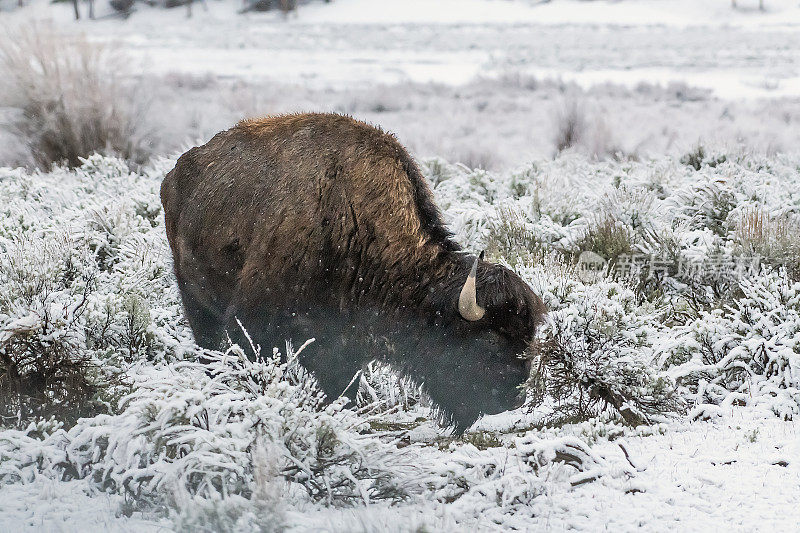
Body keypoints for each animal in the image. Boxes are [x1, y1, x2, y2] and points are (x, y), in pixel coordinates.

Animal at [159, 113, 548, 432]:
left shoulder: (345, 344)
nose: (513, 398)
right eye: (490, 339)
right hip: (195, 300)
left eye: (529, 334)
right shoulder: (253, 324)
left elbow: (341, 389)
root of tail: (177, 172)